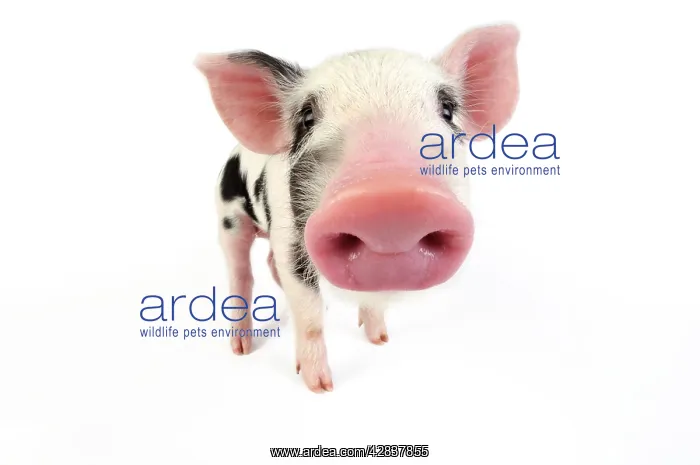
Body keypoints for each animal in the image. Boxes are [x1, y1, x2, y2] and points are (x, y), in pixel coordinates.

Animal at [194, 24, 520, 393]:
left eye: (448, 110)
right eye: (307, 118)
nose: (390, 194)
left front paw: (380, 339)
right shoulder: (289, 240)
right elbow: (308, 312)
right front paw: (321, 387)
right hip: (228, 218)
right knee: (241, 272)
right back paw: (242, 349)